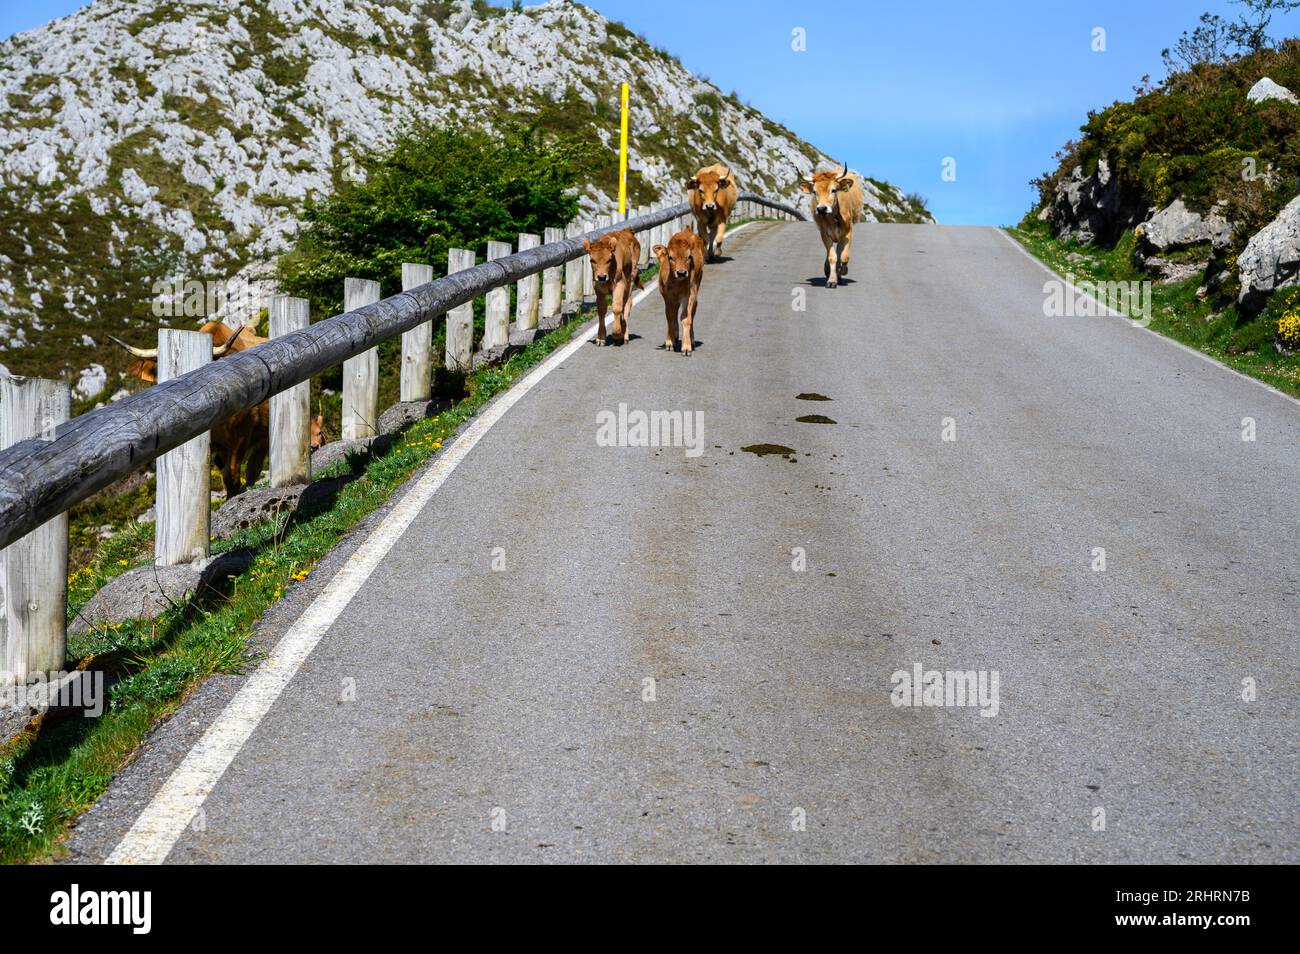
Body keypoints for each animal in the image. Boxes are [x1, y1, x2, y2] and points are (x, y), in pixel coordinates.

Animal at [651, 224, 706, 357]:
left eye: (689, 257)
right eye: (670, 257)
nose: (681, 273)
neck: (677, 283)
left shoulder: (690, 296)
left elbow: (686, 318)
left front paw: (686, 347)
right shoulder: (668, 297)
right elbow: (670, 317)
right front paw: (669, 343)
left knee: (692, 314)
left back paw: (691, 339)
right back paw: (675, 336)